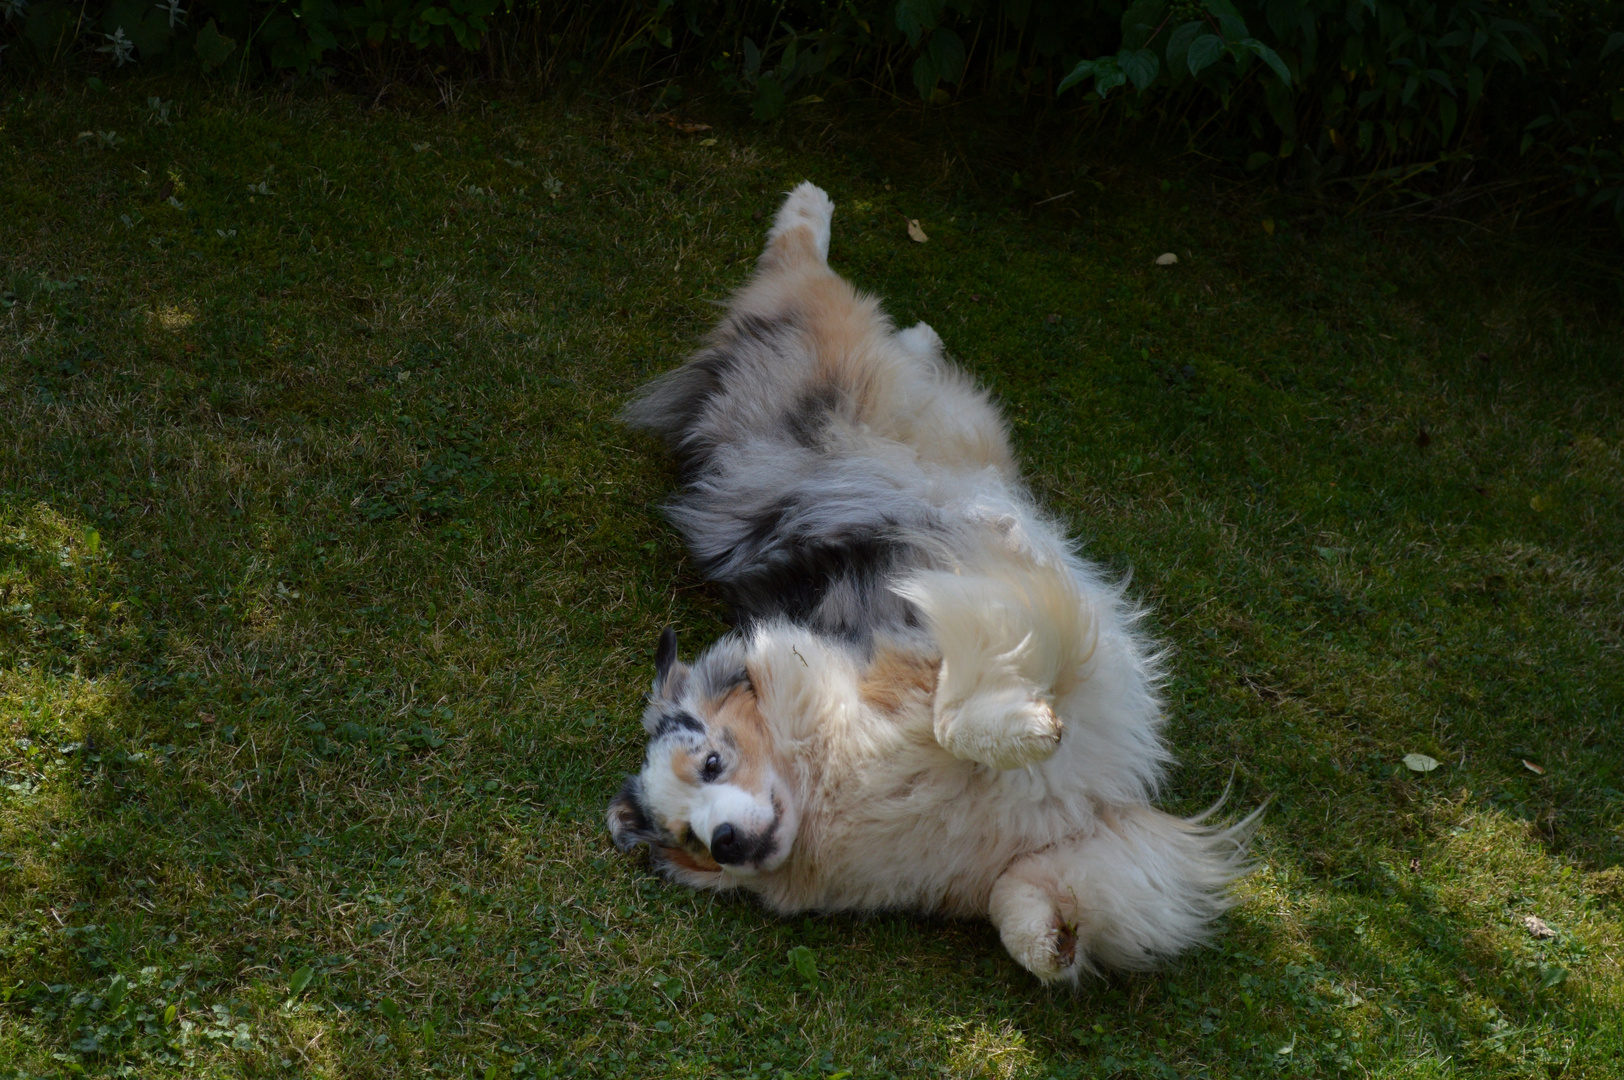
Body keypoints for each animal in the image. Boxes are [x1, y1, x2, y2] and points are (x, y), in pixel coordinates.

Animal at [610, 183, 1253, 974]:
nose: (725, 842)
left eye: (711, 762)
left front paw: (1032, 730)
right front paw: (1055, 943)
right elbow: (1018, 902)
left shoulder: (962, 616)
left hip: (832, 355)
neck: (828, 785)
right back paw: (917, 329)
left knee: (803, 273)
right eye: (686, 838)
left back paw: (810, 205)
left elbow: (958, 714)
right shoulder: (1064, 837)